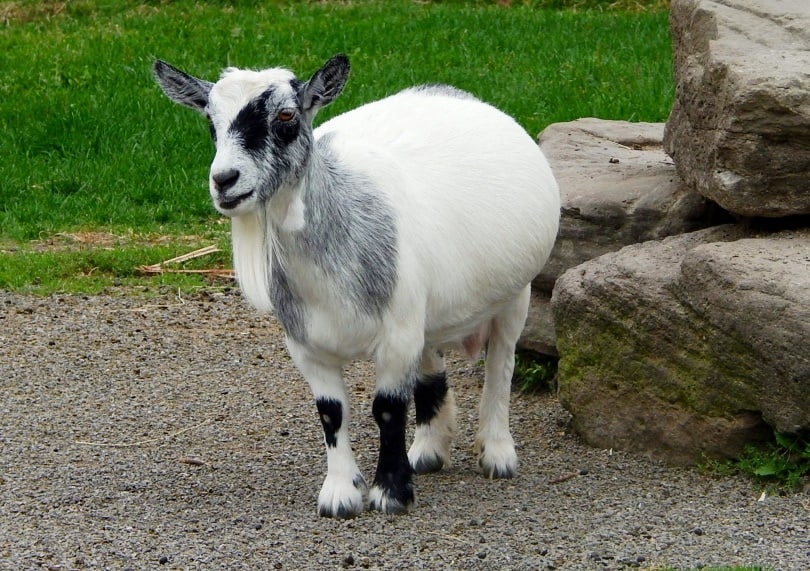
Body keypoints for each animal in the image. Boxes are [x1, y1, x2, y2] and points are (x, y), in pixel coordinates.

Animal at [153, 54, 560, 518]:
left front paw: (391, 493)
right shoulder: (308, 344)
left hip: (516, 294)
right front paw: (340, 494)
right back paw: (429, 448)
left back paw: (496, 452)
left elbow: (388, 409)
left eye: (287, 117)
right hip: (424, 312)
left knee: (501, 365)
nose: (224, 180)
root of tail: (455, 93)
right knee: (431, 363)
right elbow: (331, 413)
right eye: (210, 121)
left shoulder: (397, 335)